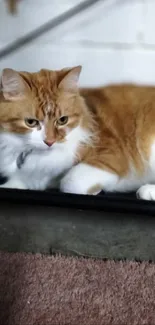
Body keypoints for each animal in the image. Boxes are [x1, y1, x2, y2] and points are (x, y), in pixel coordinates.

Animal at [0, 65, 155, 200]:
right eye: (31, 122)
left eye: (62, 120)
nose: (50, 142)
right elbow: (16, 183)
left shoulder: (110, 156)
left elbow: (69, 181)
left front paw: (97, 190)